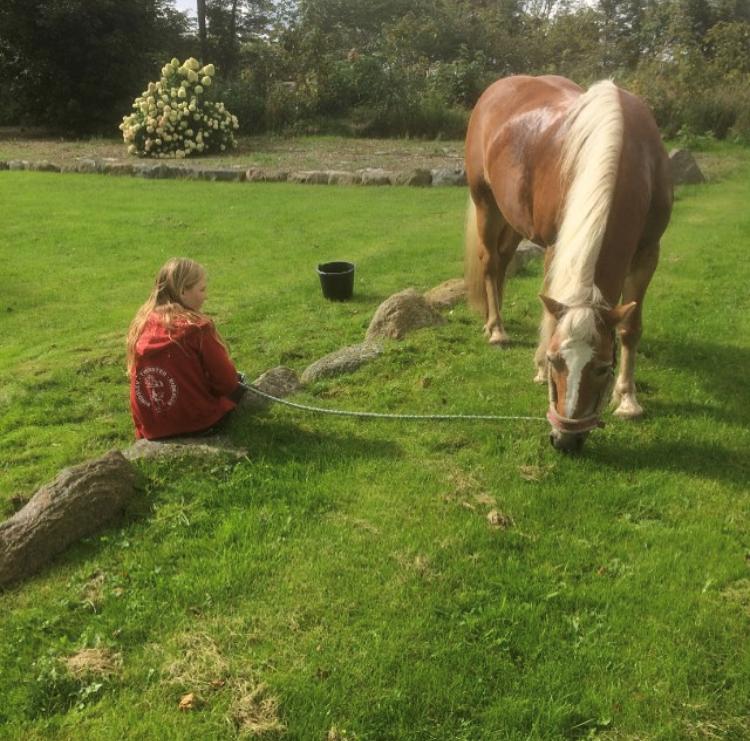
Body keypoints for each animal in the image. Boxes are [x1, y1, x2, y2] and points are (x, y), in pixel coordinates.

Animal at [464, 78, 676, 454]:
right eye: (555, 361)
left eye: (603, 367)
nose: (564, 440)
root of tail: (497, 88)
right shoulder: (555, 247)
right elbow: (552, 314)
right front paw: (536, 367)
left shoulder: (648, 254)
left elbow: (630, 328)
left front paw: (627, 399)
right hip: (486, 204)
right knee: (490, 263)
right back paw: (496, 329)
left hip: (512, 220)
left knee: (501, 264)